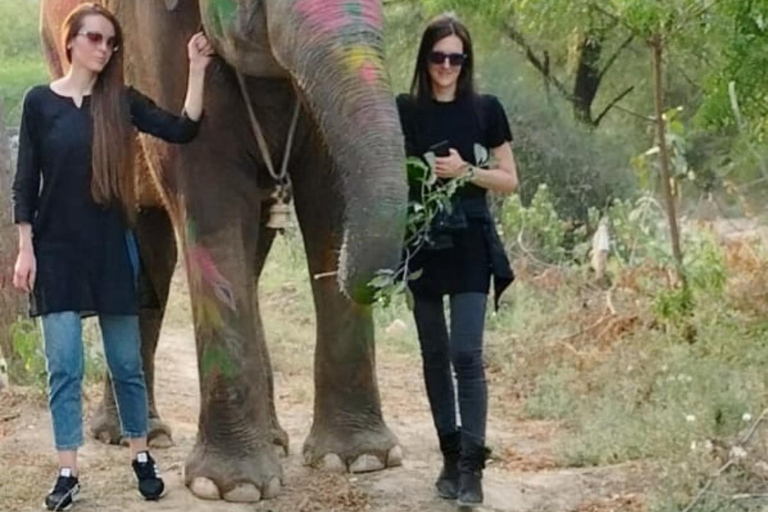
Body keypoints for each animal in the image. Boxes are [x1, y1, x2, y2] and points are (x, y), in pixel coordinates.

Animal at [40, 0, 408, 504]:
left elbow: (331, 200)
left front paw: (360, 460)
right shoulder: (160, 40)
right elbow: (210, 204)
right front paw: (233, 487)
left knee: (233, 258)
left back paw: (270, 438)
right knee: (151, 255)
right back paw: (136, 436)